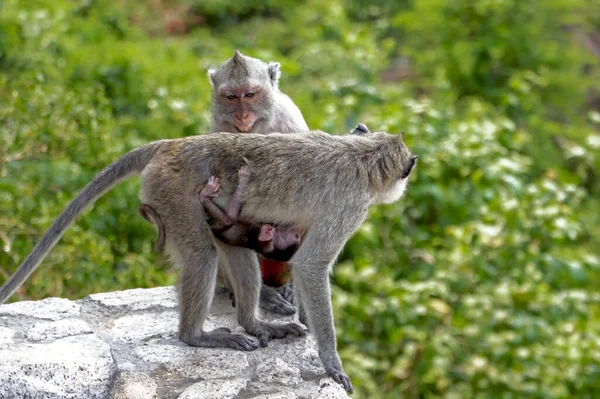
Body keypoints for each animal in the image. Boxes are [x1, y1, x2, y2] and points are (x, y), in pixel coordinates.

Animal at [0, 131, 418, 394]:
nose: (404, 188)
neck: (362, 154)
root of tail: (171, 145)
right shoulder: (351, 205)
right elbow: (311, 265)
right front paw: (332, 364)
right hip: (171, 192)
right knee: (203, 256)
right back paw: (195, 336)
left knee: (237, 253)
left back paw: (254, 323)